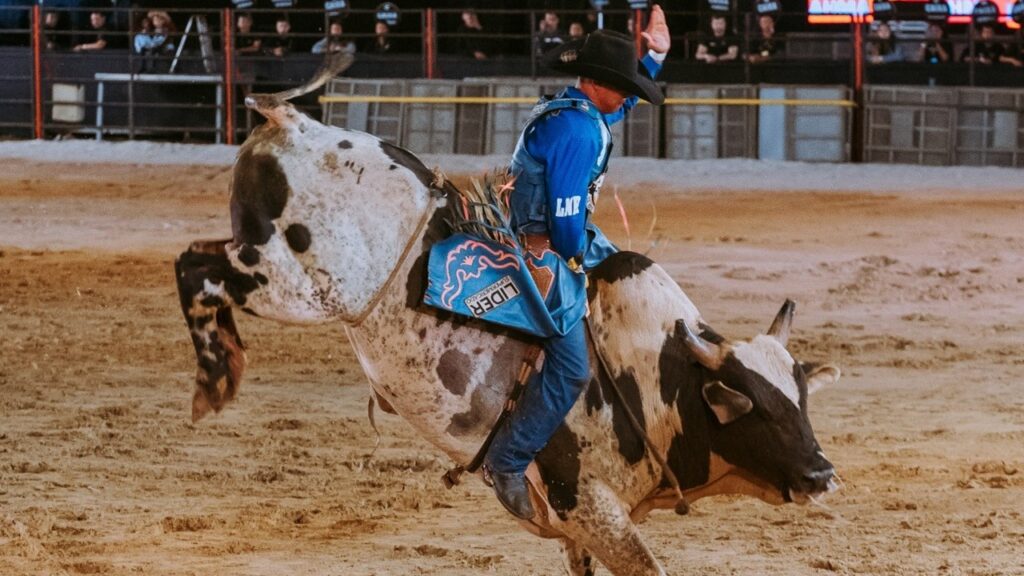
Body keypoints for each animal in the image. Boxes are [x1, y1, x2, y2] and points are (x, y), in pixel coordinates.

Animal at [174, 54, 839, 573]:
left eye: (802, 402)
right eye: (752, 405)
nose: (822, 474)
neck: (654, 376)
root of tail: (295, 121)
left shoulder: (579, 532)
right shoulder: (589, 504)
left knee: (204, 260)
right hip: (297, 285)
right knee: (194, 269)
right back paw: (215, 376)